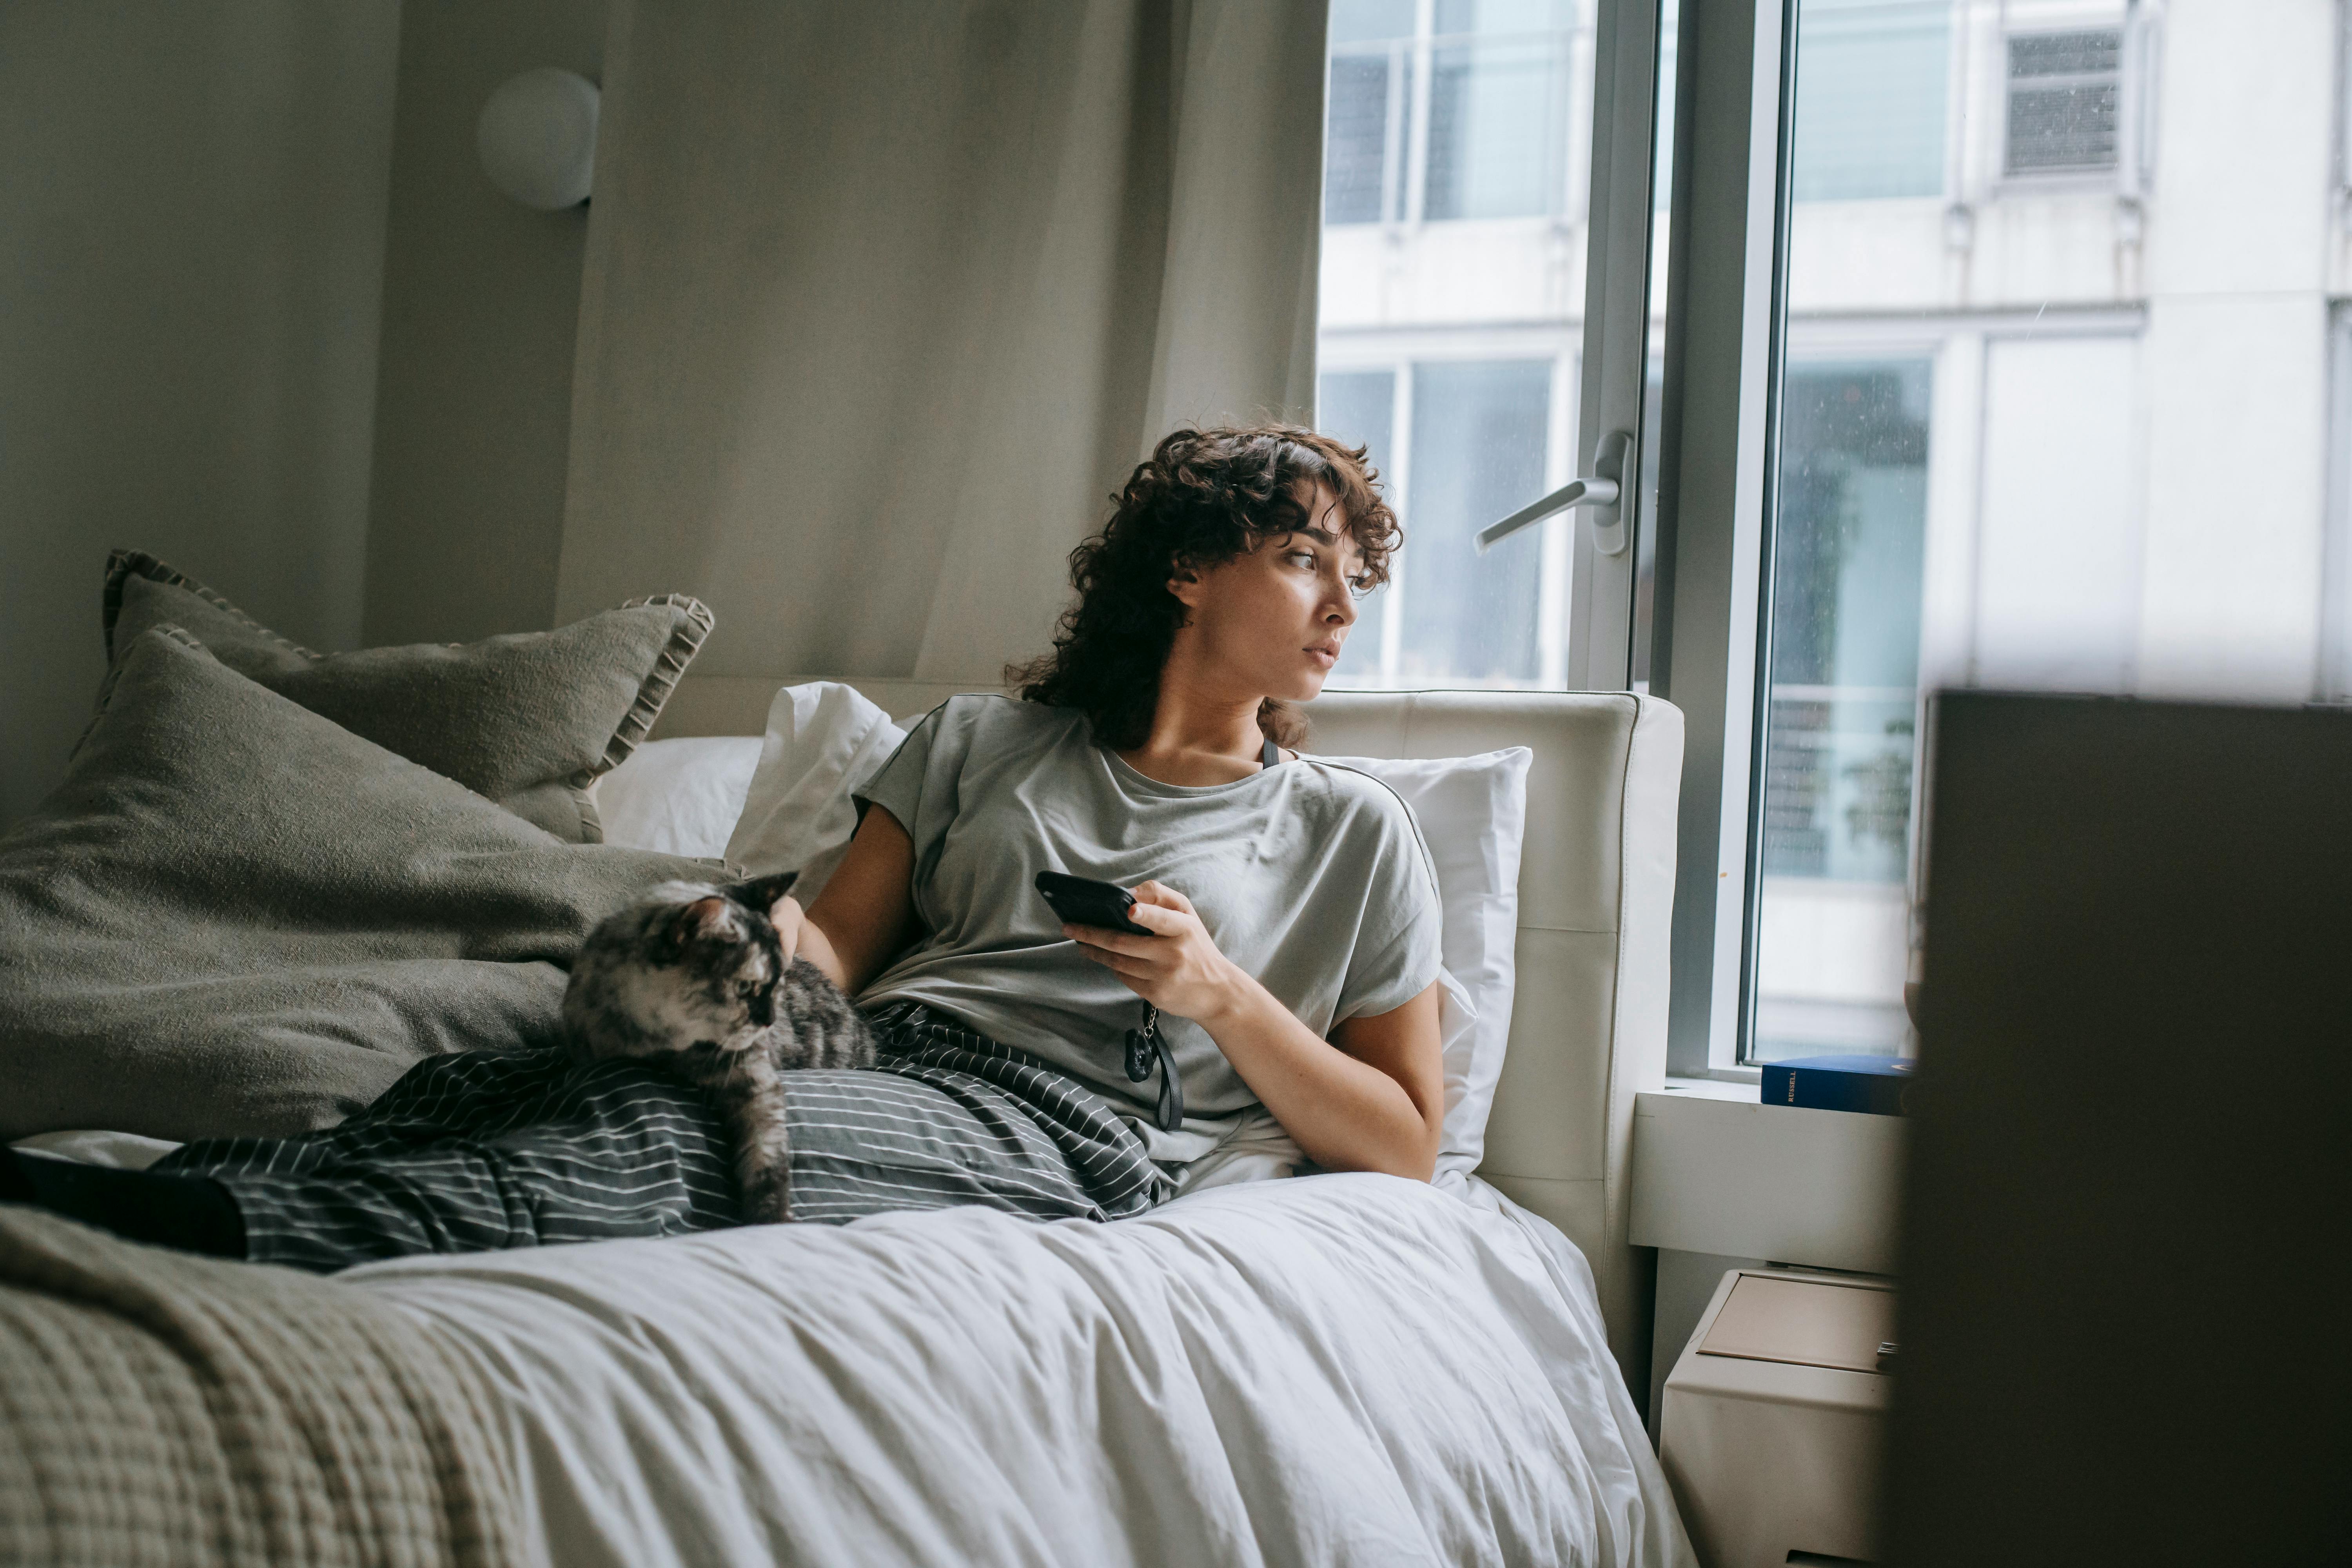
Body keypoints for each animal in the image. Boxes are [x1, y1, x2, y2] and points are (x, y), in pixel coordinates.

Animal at [564, 869, 880, 1222]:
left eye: (778, 984)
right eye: (745, 988)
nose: (770, 1020)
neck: (660, 1048)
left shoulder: (756, 1083)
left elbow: (766, 1162)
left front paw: (771, 1220)